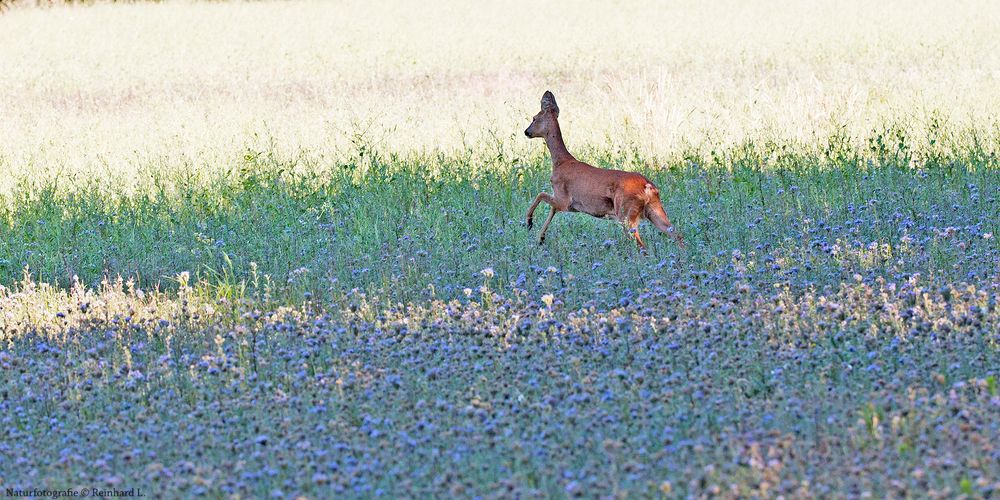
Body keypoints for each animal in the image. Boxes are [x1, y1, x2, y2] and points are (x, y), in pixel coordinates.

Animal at [524, 91, 688, 254]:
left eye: (534, 118)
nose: (526, 132)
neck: (560, 162)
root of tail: (648, 187)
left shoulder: (564, 199)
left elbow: (541, 195)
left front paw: (529, 222)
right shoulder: (570, 206)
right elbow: (551, 208)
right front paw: (540, 238)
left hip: (625, 212)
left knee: (642, 246)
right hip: (654, 210)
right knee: (677, 235)